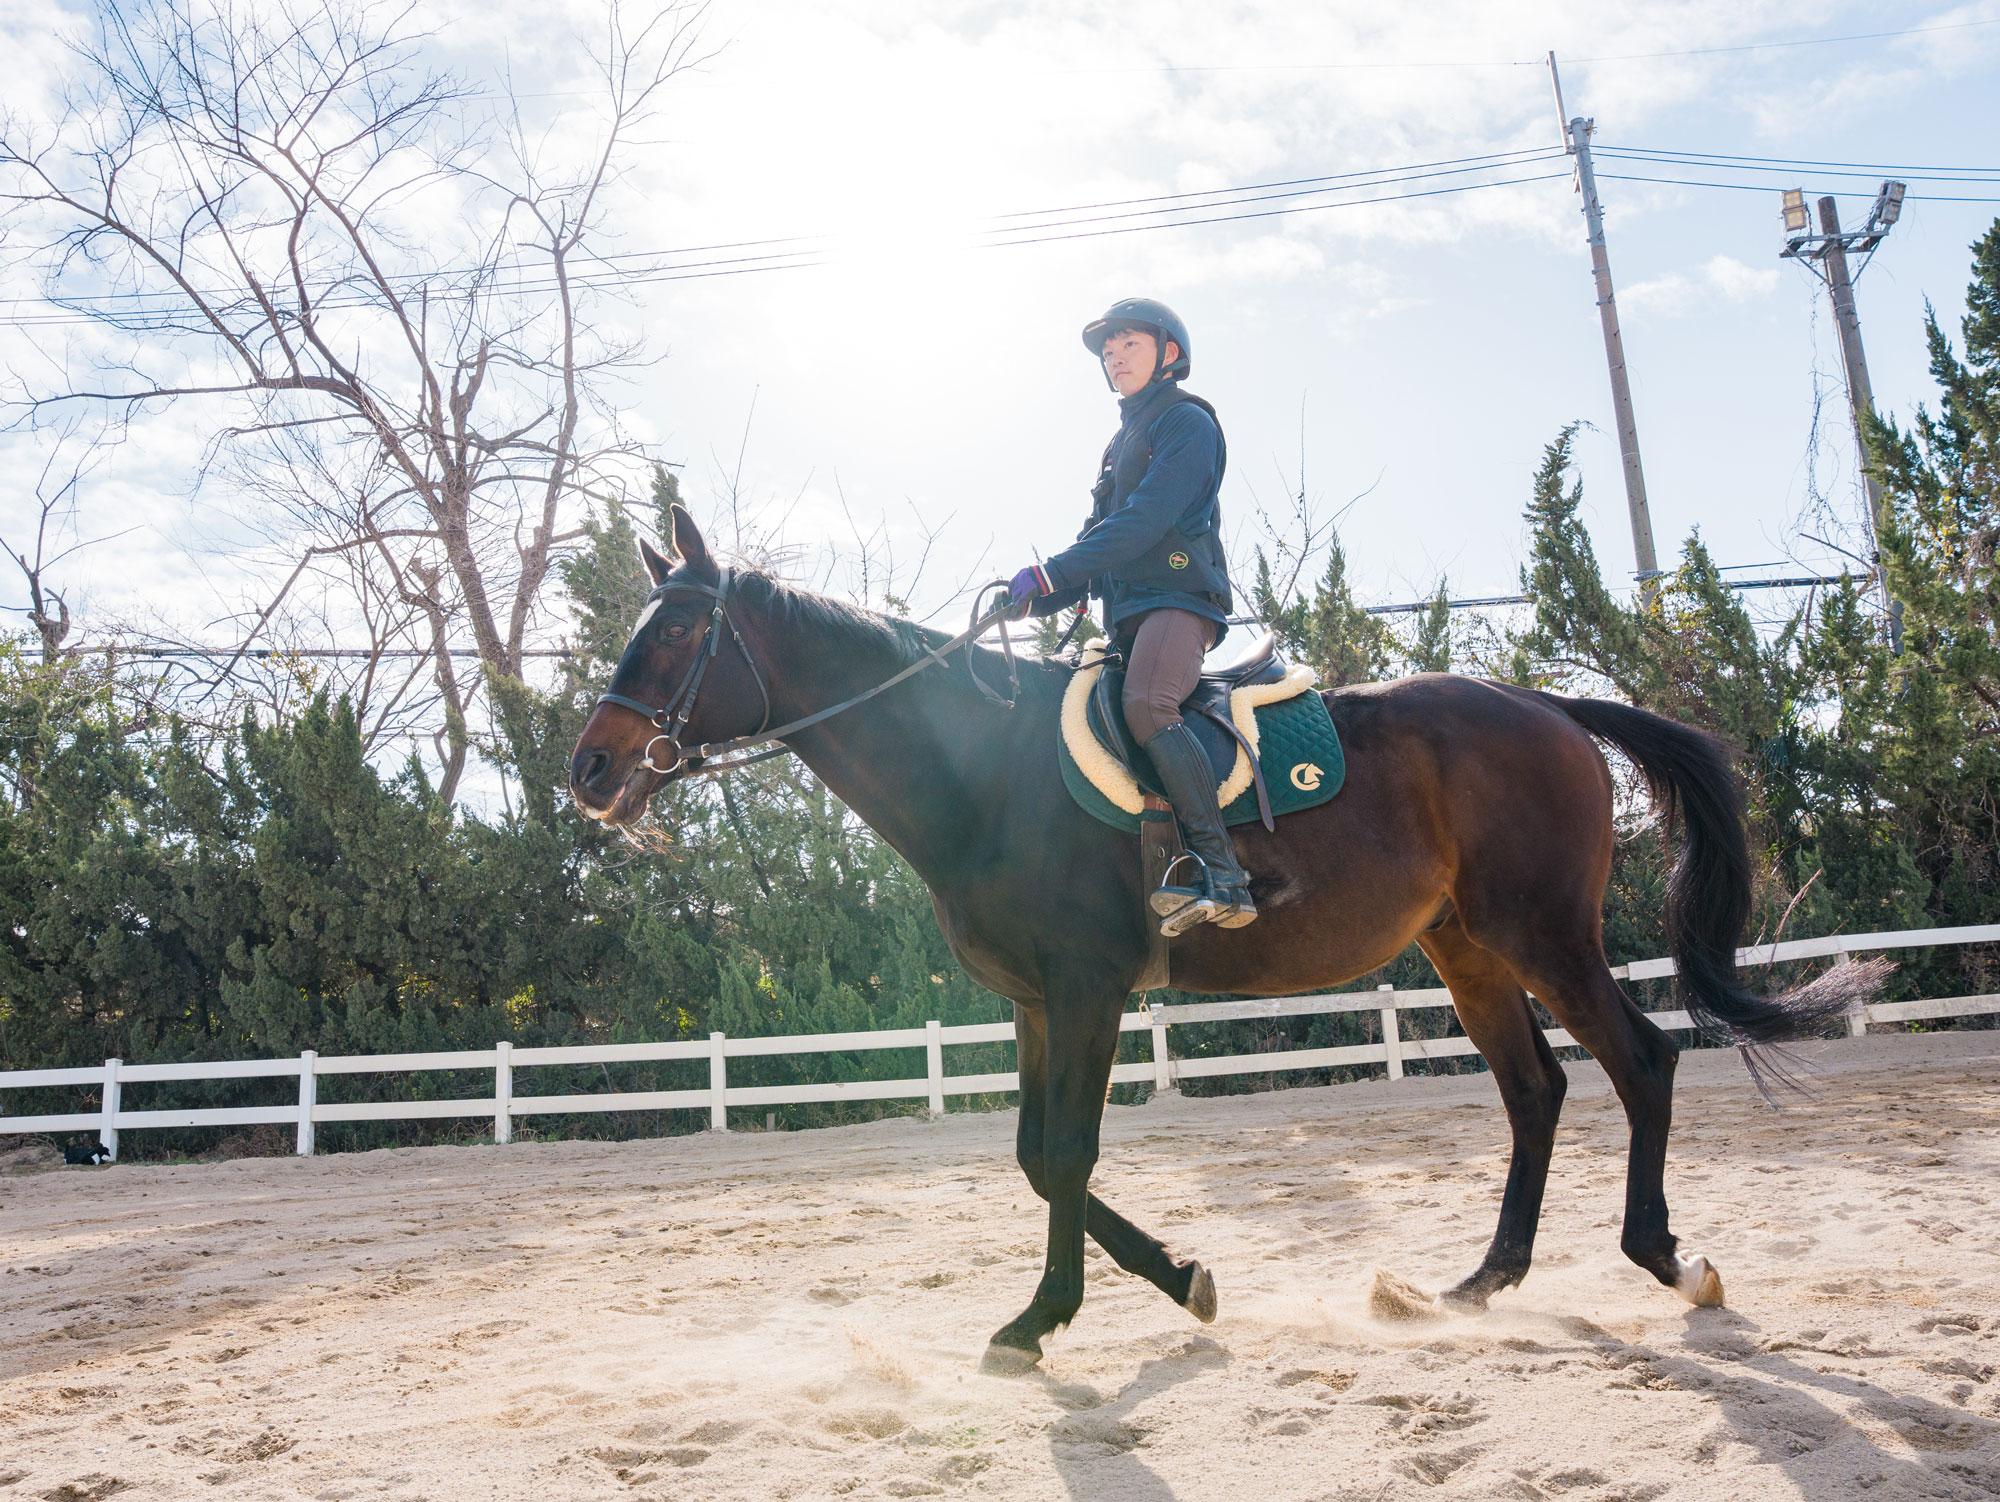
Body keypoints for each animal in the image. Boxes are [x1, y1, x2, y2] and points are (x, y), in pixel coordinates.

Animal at [568, 504, 1882, 1372]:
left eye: (676, 635)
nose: (588, 769)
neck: (982, 767)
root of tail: (1541, 704)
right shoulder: (1036, 1002)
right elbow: (1036, 1156)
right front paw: (1163, 1283)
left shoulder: (1089, 990)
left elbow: (1064, 1155)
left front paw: (1047, 1318)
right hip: (1465, 949)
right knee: (1534, 1090)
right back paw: (1475, 1282)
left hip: (1542, 933)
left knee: (1639, 1061)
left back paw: (1667, 1259)